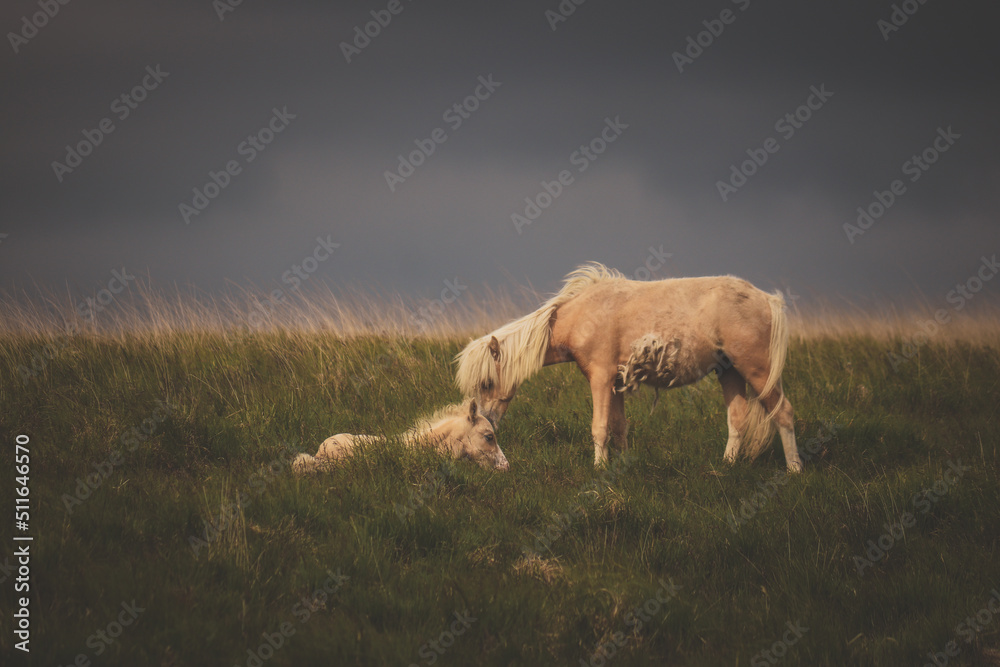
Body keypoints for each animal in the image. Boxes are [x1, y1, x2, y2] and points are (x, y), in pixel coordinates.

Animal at [455, 262, 802, 472]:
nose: (488, 421)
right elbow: (619, 427)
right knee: (738, 419)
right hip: (729, 372)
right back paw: (727, 465)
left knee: (783, 412)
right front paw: (620, 467)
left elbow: (599, 427)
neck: (582, 315)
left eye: (487, 383)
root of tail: (767, 299)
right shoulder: (615, 382)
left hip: (757, 370)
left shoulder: (600, 377)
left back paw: (795, 469)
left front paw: (598, 469)